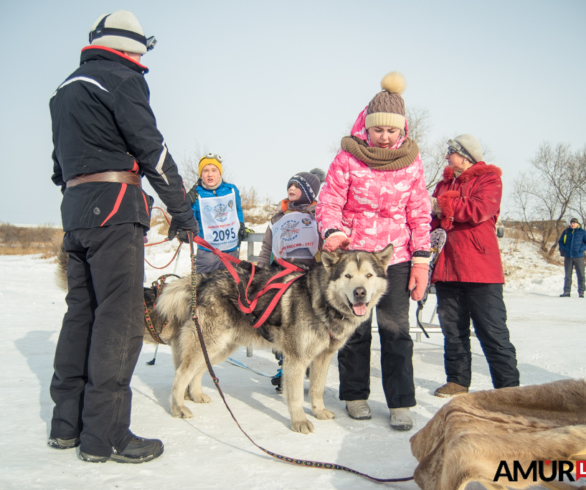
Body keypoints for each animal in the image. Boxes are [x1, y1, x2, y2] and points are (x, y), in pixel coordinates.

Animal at [58, 244, 392, 432]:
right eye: (347, 276)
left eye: (369, 276)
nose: (360, 293)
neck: (319, 300)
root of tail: (203, 280)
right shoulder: (297, 360)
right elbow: (296, 396)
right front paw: (299, 422)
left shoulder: (323, 357)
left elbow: (318, 390)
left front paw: (320, 411)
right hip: (212, 342)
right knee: (181, 375)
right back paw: (178, 408)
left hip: (220, 346)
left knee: (196, 372)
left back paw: (196, 395)